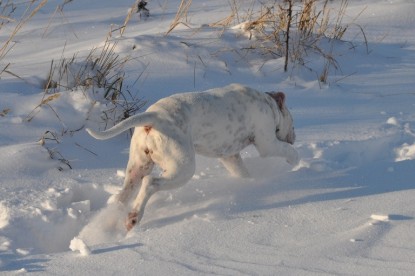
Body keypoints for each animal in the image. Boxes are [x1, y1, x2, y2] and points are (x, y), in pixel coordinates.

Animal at [87, 83, 300, 231]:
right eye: (293, 122)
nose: (294, 136)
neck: (269, 104)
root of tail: (154, 117)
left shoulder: (230, 156)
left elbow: (243, 172)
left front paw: (250, 183)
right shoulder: (267, 143)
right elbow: (287, 151)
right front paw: (297, 164)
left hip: (139, 165)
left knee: (124, 194)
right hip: (183, 167)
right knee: (150, 183)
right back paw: (134, 217)